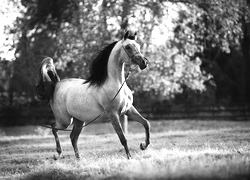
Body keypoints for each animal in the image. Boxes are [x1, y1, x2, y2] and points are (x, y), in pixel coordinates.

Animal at [35, 30, 150, 160]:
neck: (116, 84)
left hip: (79, 121)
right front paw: (129, 157)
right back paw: (58, 153)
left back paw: (78, 158)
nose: (144, 62)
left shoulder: (128, 110)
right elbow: (123, 138)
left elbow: (146, 123)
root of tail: (57, 85)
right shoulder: (113, 115)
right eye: (128, 47)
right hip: (65, 121)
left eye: (138, 45)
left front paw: (143, 145)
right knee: (54, 127)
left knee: (72, 137)